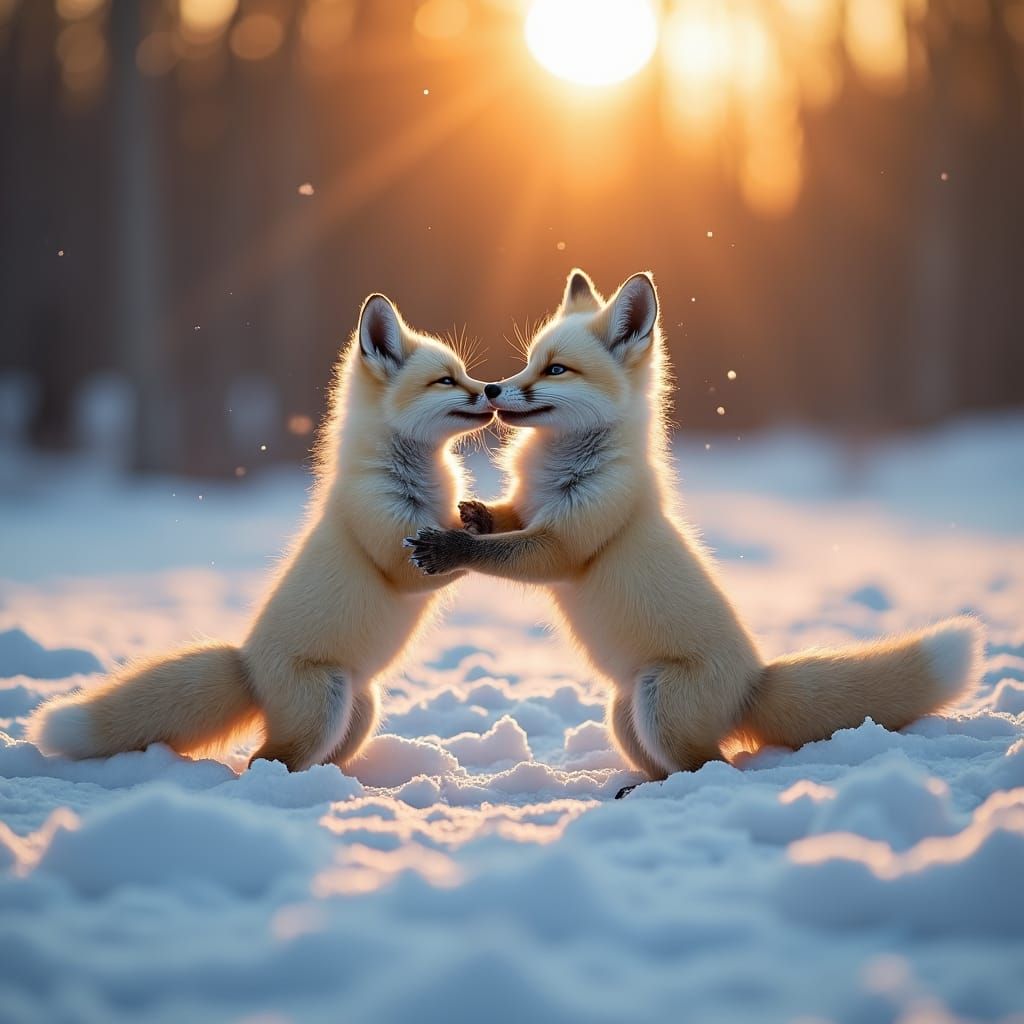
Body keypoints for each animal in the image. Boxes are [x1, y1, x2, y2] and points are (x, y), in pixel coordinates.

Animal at [27, 294, 493, 772]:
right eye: (445, 380)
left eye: (465, 374)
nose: (491, 389)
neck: (419, 479)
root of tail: (248, 666)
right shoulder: (393, 545)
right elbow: (429, 563)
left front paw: (486, 517)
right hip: (324, 709)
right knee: (261, 760)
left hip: (358, 714)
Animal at [405, 269, 984, 787]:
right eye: (529, 363)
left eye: (556, 370)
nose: (493, 388)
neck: (561, 471)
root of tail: (752, 680)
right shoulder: (530, 512)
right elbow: (503, 522)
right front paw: (474, 515)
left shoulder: (565, 543)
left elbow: (501, 552)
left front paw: (448, 547)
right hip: (627, 715)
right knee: (675, 765)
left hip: (660, 705)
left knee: (713, 766)